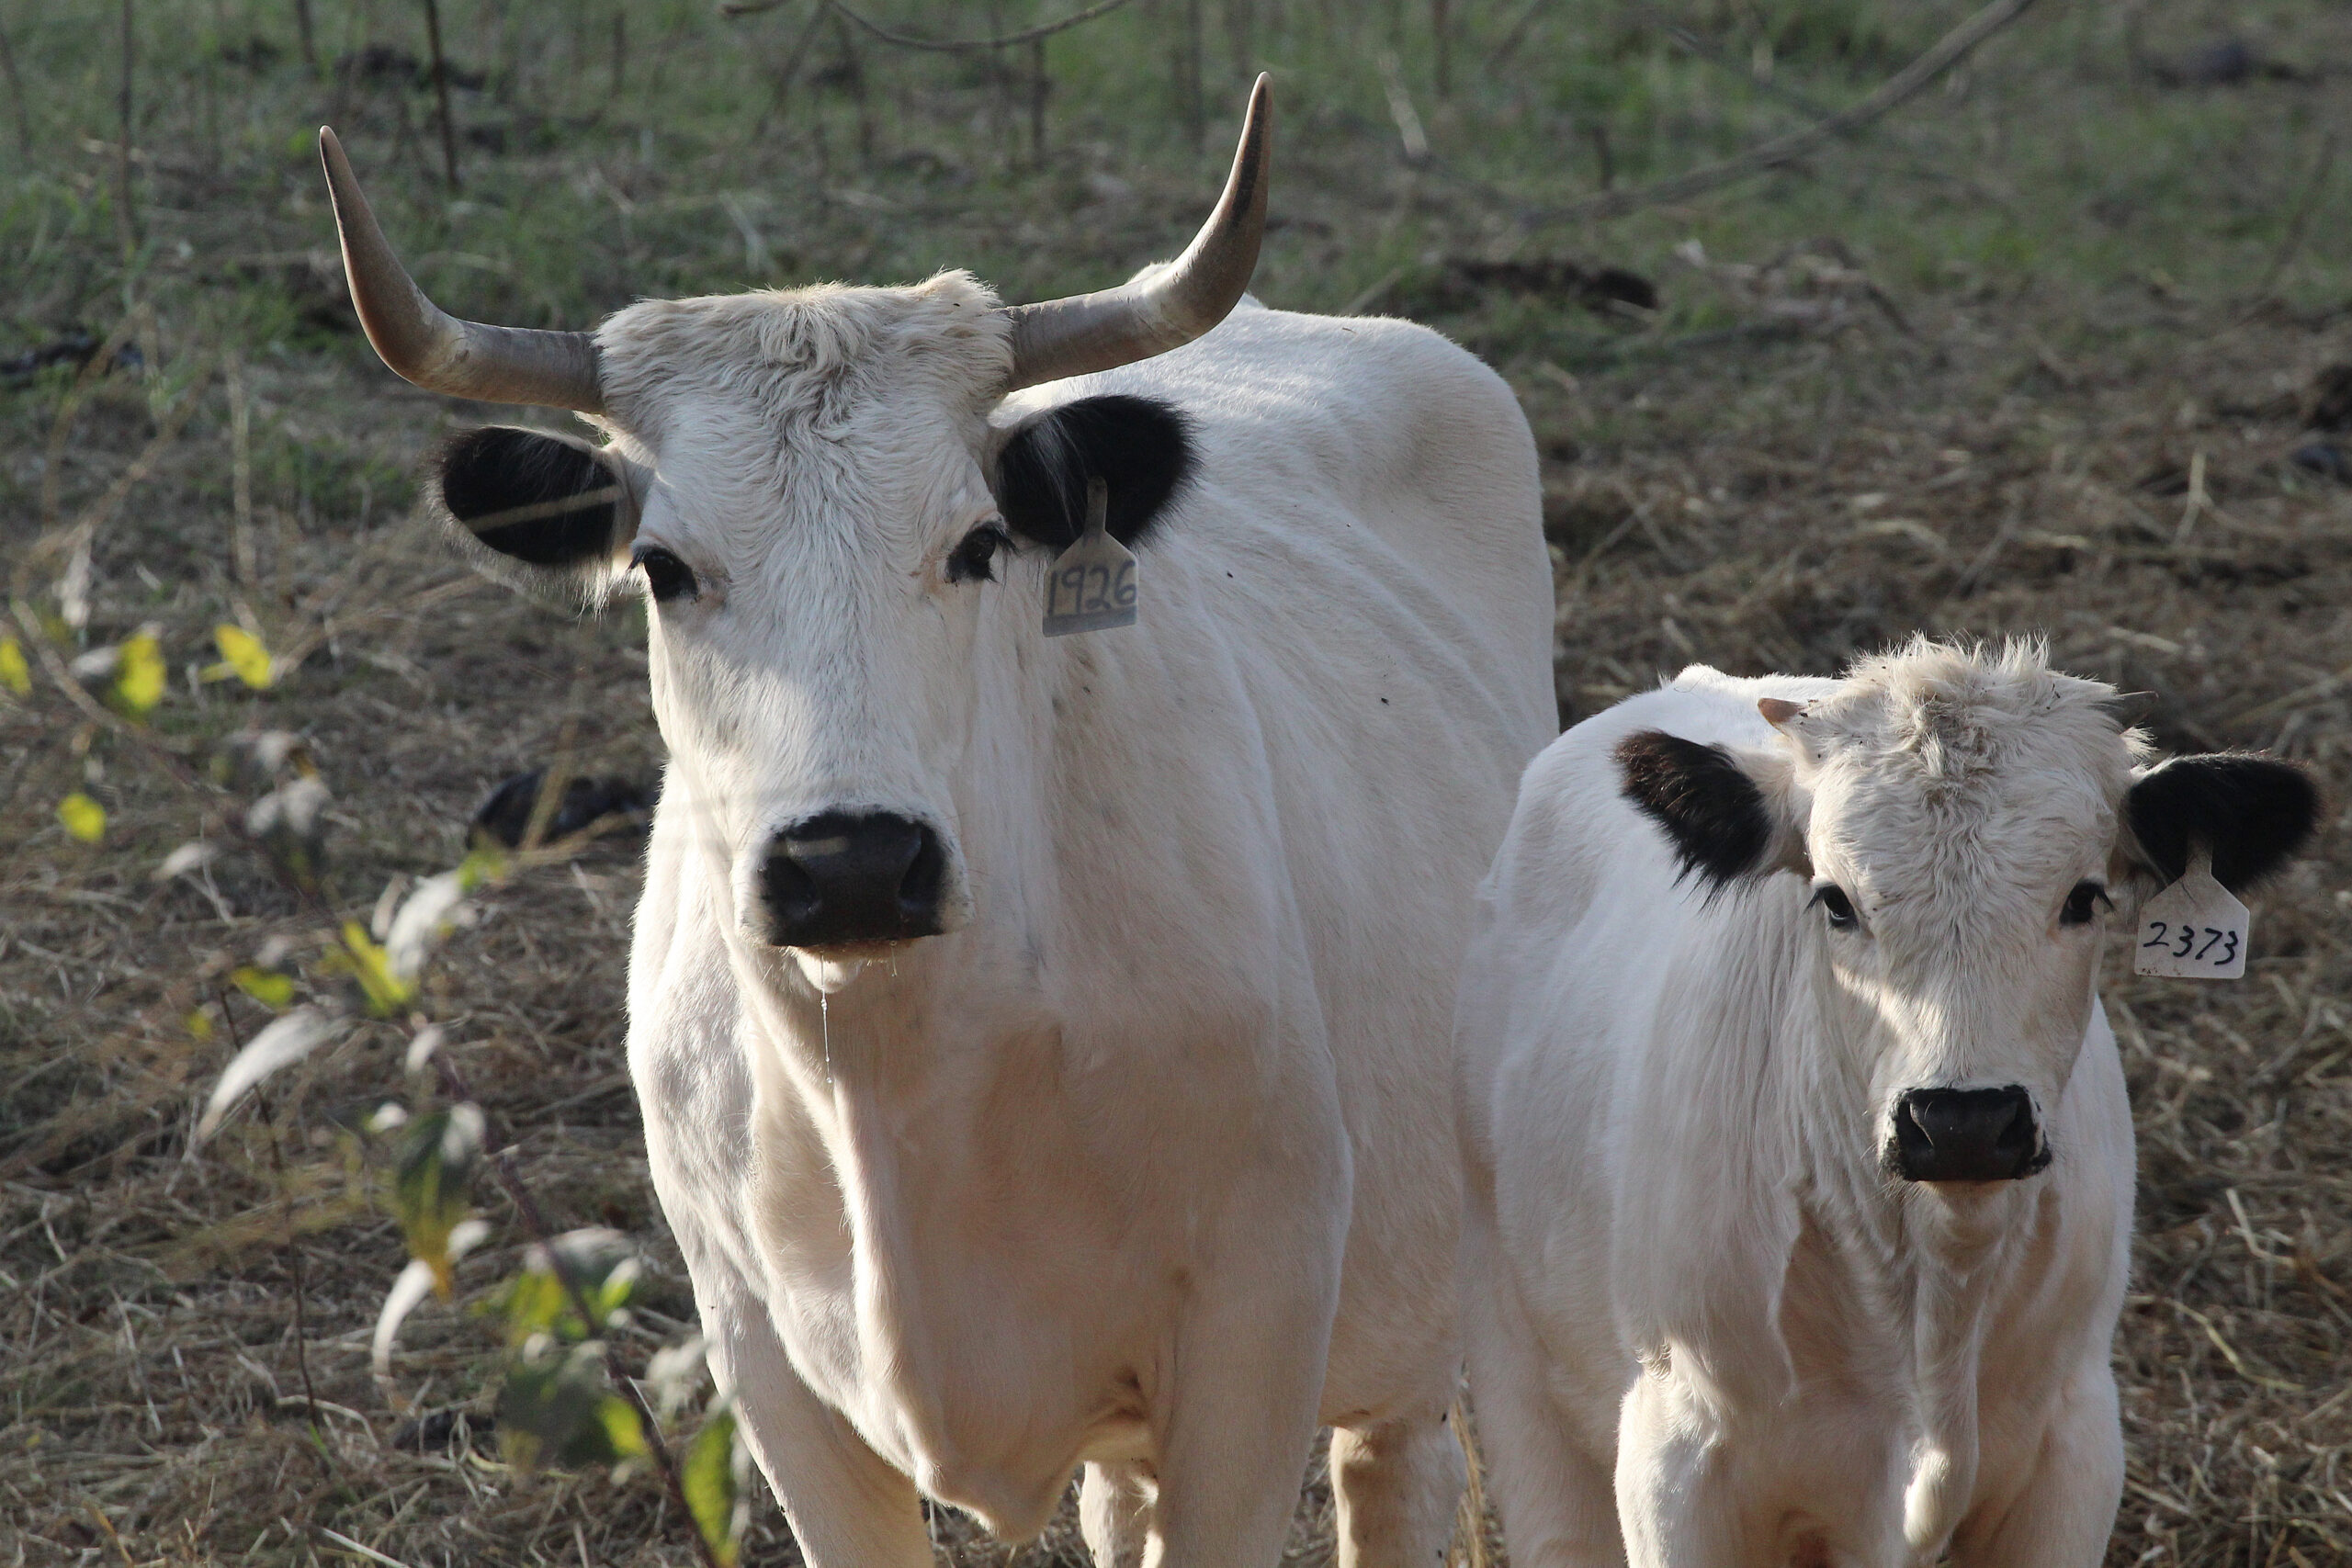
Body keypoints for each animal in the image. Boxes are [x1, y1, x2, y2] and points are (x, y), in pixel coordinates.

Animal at [318, 79, 1559, 1568]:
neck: (901, 1069)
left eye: (979, 543)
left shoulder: (1253, 1338)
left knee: (1398, 1471)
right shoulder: (768, 1364)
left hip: (1409, 1308)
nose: (852, 861)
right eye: (662, 568)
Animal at [1454, 640, 2316, 1568]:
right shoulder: (1676, 1467)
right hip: (1522, 1384)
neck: (1937, 1288)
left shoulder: (2072, 1449)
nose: (1963, 1122)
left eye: (2084, 897)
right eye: (1835, 899)